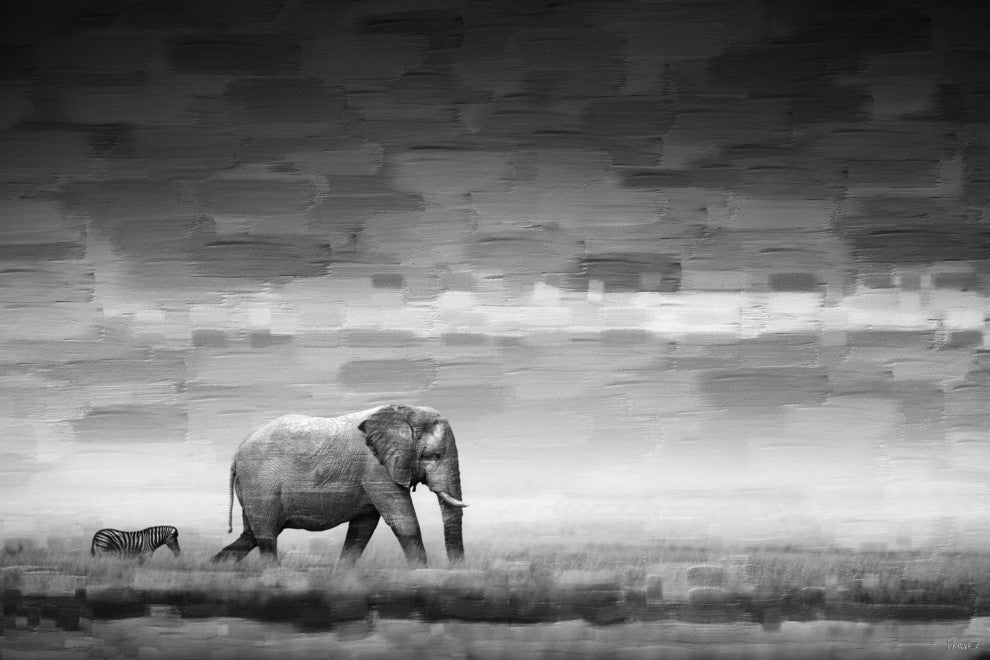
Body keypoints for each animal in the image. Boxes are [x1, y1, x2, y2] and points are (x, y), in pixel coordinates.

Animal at [211, 404, 466, 565]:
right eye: (433, 456)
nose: (457, 569)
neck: (405, 412)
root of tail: (237, 452)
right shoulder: (376, 468)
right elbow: (403, 520)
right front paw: (421, 571)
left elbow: (362, 529)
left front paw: (343, 575)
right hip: (260, 484)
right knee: (266, 537)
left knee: (251, 535)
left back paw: (215, 567)